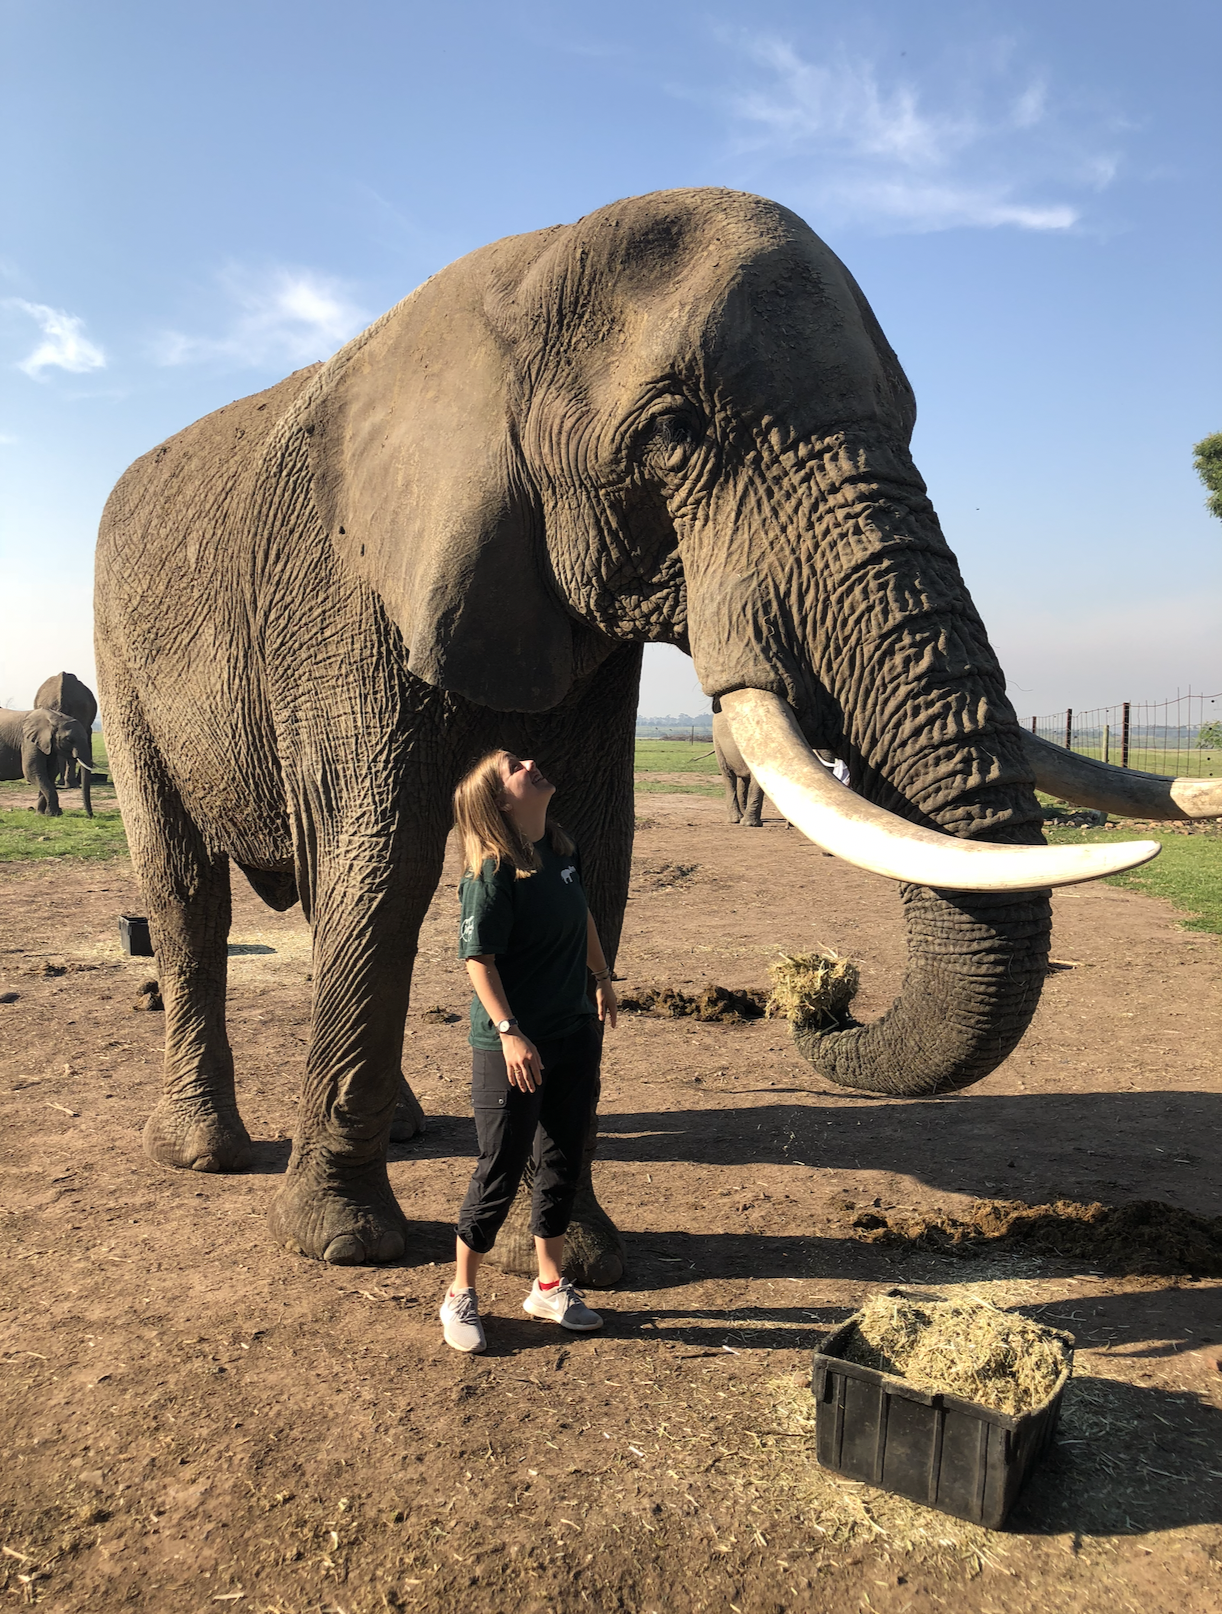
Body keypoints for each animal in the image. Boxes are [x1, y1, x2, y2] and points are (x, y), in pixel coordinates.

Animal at [94, 186, 1201, 1278]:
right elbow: (384, 858)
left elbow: (590, 852)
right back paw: (205, 1152)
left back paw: (404, 1129)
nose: (822, 998)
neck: (527, 271)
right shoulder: (339, 599)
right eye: (674, 432)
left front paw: (578, 1256)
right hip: (119, 662)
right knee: (190, 892)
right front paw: (345, 1246)